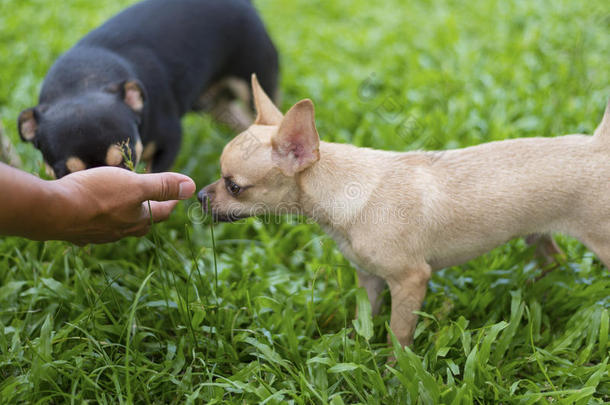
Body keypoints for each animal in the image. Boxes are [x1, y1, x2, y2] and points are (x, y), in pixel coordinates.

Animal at [16, 0, 278, 177]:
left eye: (125, 159)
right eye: (65, 173)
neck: (83, 82)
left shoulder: (170, 140)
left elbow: (152, 180)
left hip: (254, 81)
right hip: (210, 104)